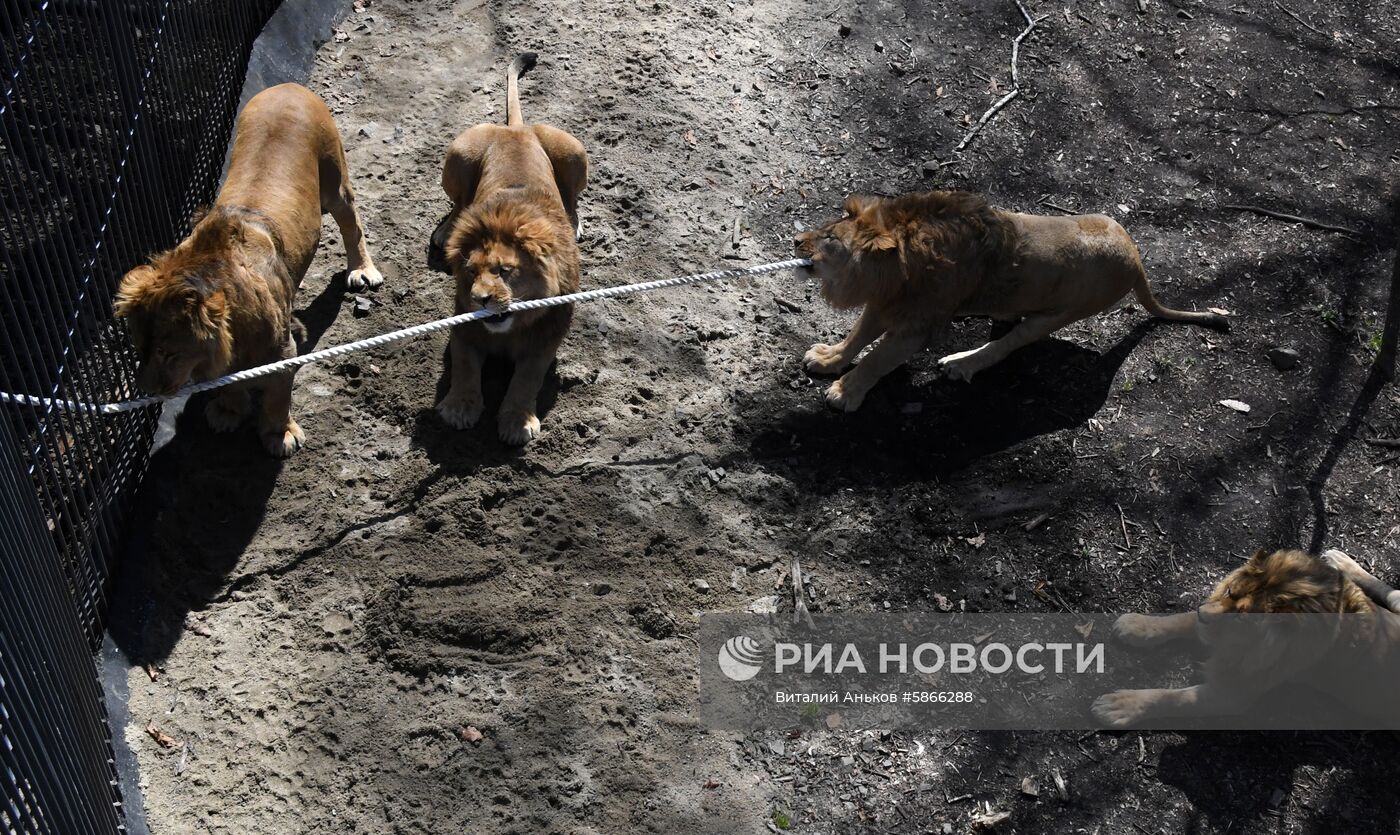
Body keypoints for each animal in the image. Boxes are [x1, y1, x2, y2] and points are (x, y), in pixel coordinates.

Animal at [115, 84, 383, 456]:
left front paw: (280, 435)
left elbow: (277, 397)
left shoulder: (282, 352)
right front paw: (229, 411)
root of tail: (290, 86)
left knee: (352, 223)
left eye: (169, 353)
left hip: (334, 180)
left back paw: (362, 271)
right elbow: (230, 382)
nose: (150, 391)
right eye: (140, 348)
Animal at [425, 52, 579, 445]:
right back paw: (447, 230)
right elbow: (464, 367)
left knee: (572, 198)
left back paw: (576, 223)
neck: (510, 327)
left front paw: (517, 421)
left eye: (504, 271)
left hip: (574, 152)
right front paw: (460, 408)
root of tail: (516, 130)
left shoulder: (545, 340)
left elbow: (526, 379)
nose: (481, 299)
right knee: (458, 202)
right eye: (470, 273)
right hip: (459, 154)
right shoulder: (464, 329)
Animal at [795, 190, 1232, 411]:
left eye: (830, 239)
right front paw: (829, 358)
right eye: (825, 227)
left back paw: (961, 362)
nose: (796, 240)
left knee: (1005, 346)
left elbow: (876, 359)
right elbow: (856, 337)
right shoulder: (885, 303)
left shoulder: (917, 325)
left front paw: (846, 392)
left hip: (1058, 315)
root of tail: (1137, 259)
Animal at [1092, 549, 1400, 722]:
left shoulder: (1231, 696)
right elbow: (1184, 619)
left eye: (1242, 616)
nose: (1204, 613)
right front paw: (1137, 625)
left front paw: (1119, 706)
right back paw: (1341, 563)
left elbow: (1171, 699)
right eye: (1230, 591)